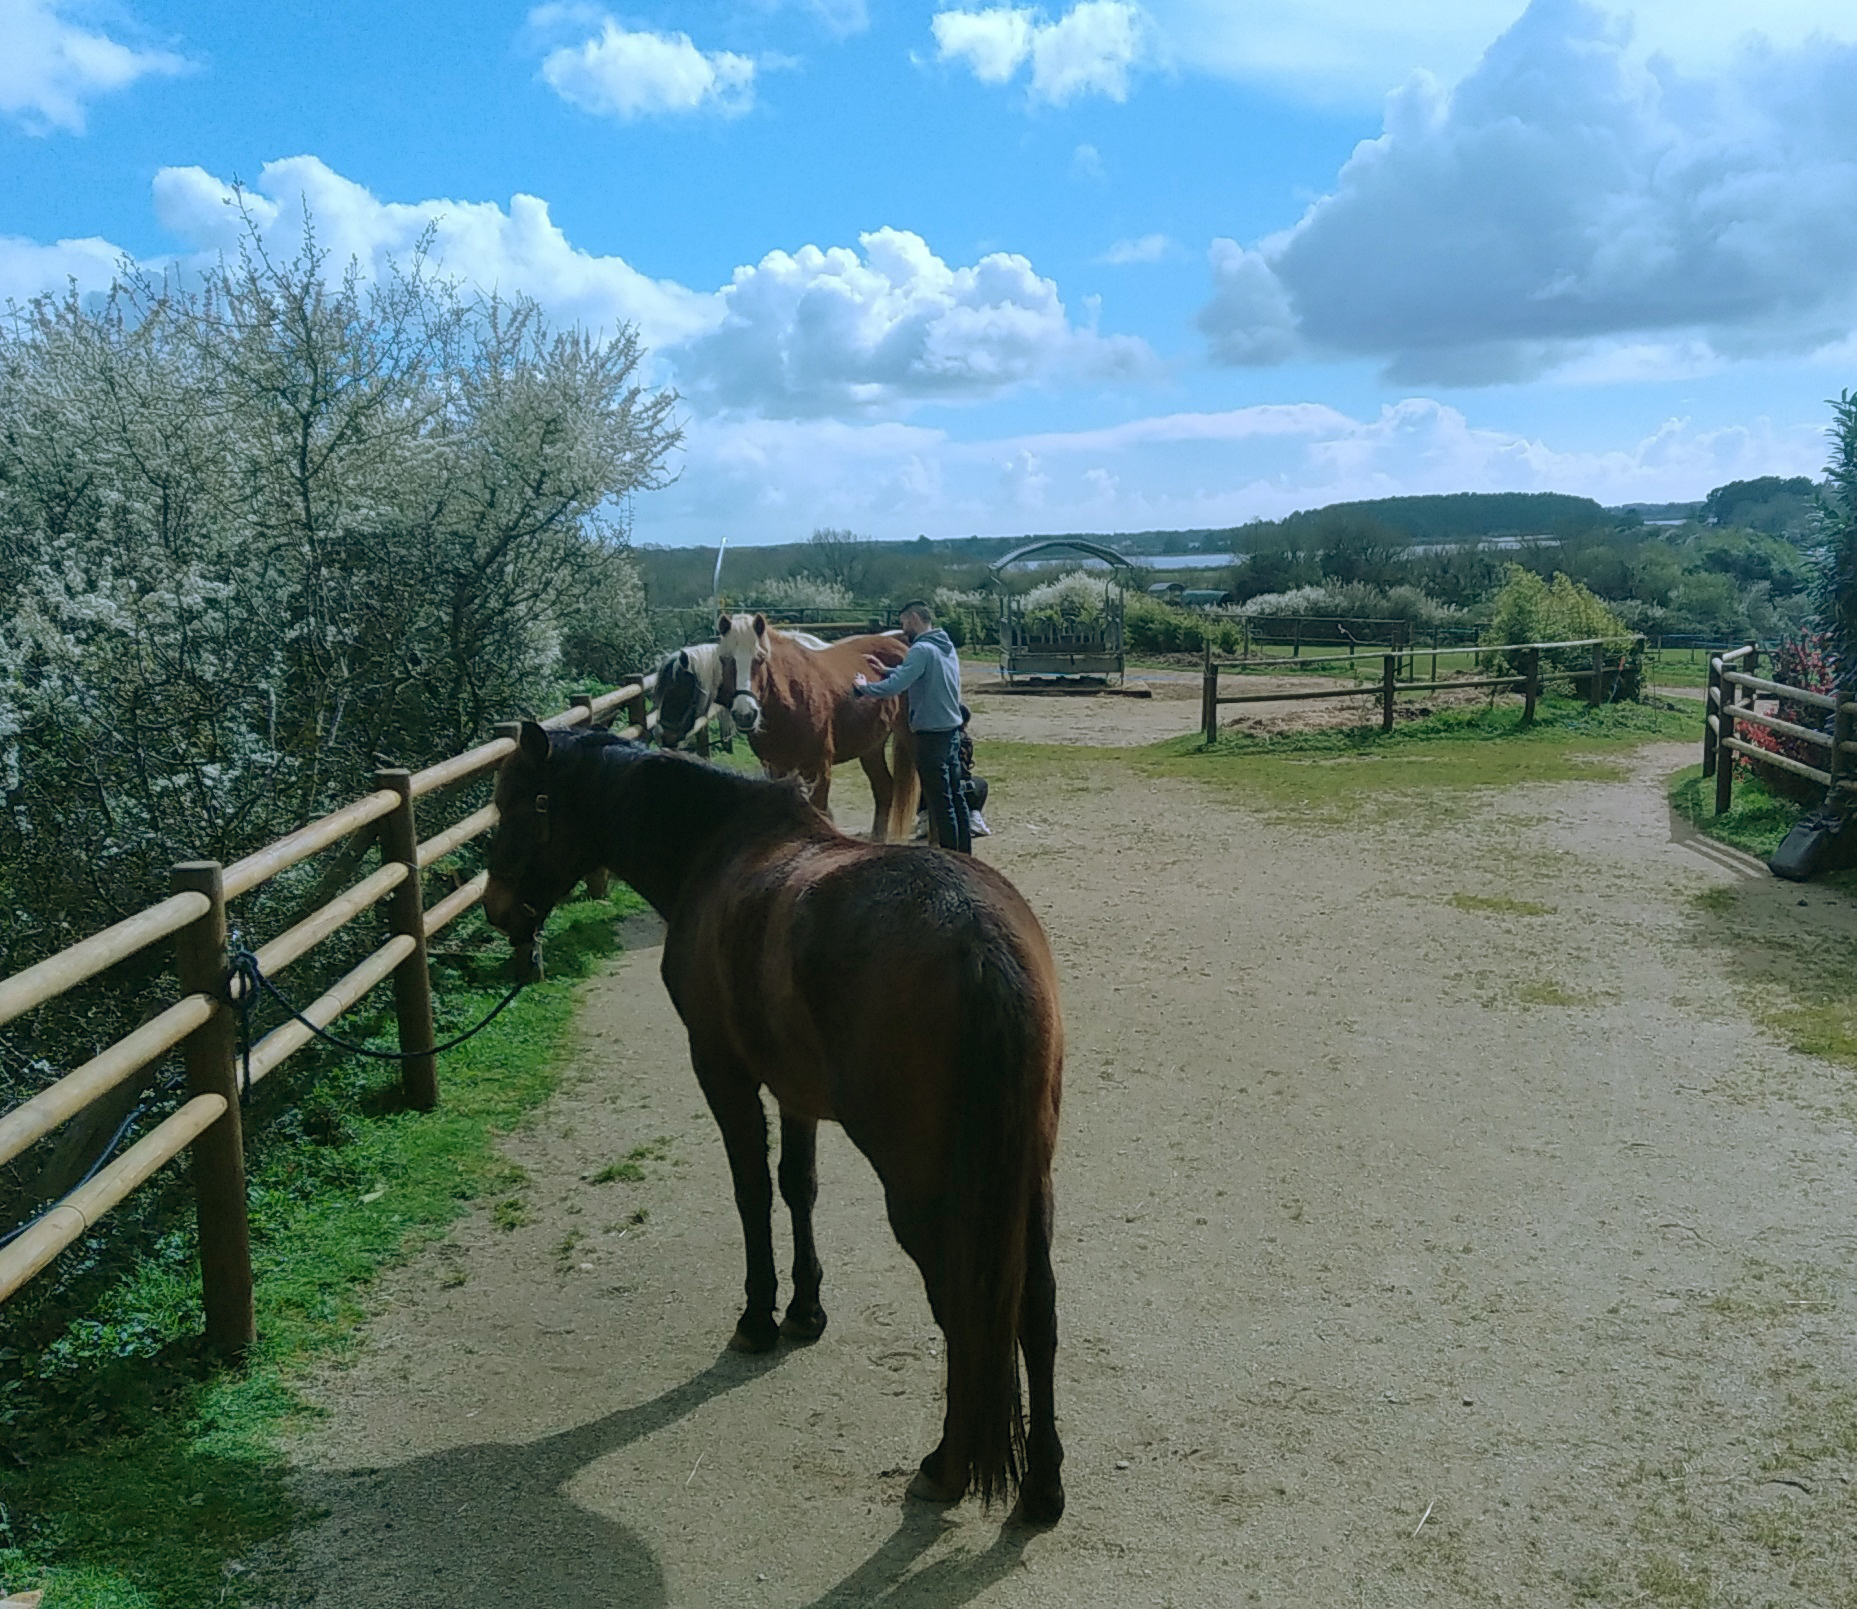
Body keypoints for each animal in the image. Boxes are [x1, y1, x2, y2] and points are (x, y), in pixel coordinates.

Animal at [482, 724, 1067, 1524]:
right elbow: (798, 1186)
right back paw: (1042, 1486)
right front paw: (805, 1309)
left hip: (925, 1188)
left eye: (516, 804)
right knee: (1035, 1310)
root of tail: (977, 938)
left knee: (962, 1308)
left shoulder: (722, 1070)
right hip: (1026, 1177)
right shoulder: (795, 1090)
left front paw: (759, 1317)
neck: (719, 845)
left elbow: (752, 1192)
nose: (496, 908)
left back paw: (946, 1466)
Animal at [715, 612, 918, 841]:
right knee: (884, 789)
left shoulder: (818, 769)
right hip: (871, 748)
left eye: (760, 658)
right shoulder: (775, 769)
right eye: (725, 659)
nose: (745, 715)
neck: (792, 700)